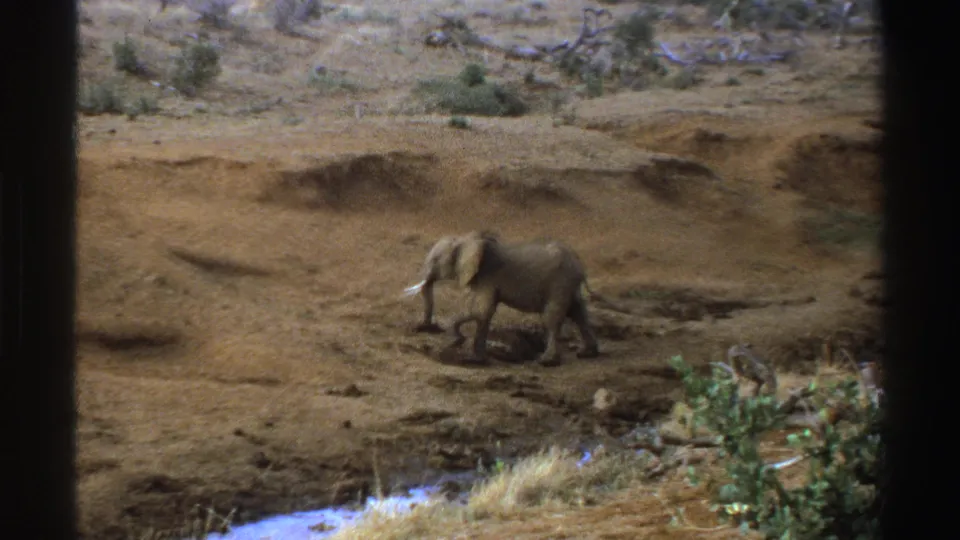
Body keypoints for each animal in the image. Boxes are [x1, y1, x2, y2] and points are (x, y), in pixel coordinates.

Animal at [404, 230, 602, 367]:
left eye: (436, 259)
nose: (422, 328)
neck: (468, 240)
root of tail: (580, 266)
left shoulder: (488, 277)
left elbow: (481, 310)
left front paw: (456, 339)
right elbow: (484, 314)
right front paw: (475, 359)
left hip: (560, 283)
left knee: (552, 318)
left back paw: (546, 361)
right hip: (569, 286)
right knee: (579, 313)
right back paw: (587, 353)